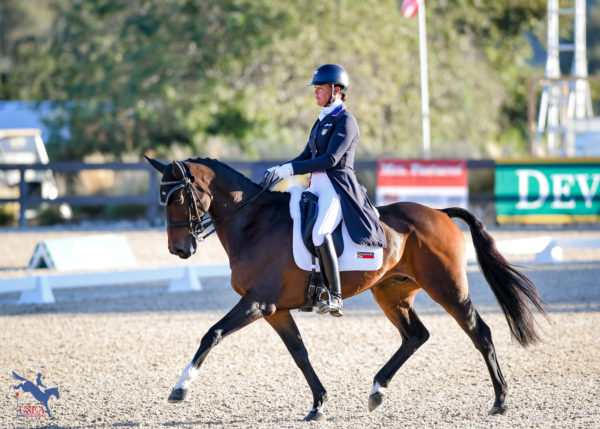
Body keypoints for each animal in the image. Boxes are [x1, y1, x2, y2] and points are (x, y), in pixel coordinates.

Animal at [145, 155, 544, 420]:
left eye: (178, 197)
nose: (179, 250)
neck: (254, 222)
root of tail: (440, 213)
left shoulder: (257, 303)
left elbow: (211, 334)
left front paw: (180, 388)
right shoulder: (275, 310)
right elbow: (300, 353)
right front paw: (318, 404)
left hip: (447, 288)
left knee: (480, 332)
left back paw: (500, 401)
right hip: (392, 293)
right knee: (416, 335)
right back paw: (377, 390)